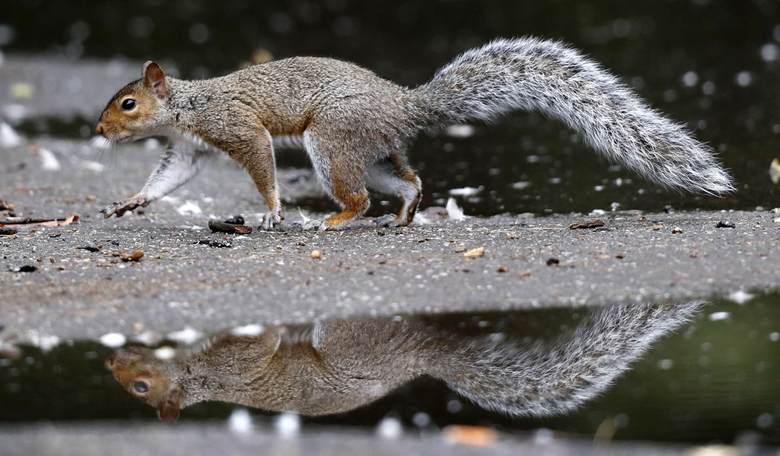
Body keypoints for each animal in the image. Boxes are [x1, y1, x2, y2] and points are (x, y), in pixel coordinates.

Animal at [95, 37, 733, 230]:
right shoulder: (190, 149)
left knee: (357, 195)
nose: (99, 130)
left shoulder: (234, 127)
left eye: (128, 103)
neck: (187, 104)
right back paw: (403, 212)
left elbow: (260, 161)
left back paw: (337, 220)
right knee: (407, 179)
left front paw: (273, 210)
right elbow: (169, 178)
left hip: (332, 142)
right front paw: (131, 202)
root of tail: (404, 104)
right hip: (368, 150)